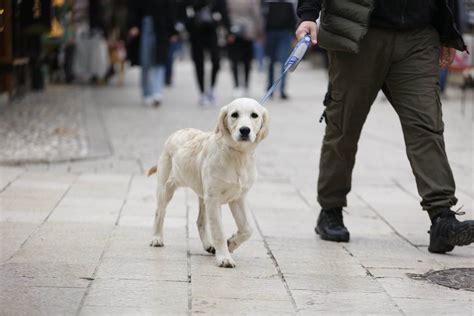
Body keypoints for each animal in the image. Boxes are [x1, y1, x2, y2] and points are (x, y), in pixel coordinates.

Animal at [146, 97, 268, 268]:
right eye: (234, 115)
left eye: (254, 115)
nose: (245, 130)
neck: (238, 155)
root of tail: (177, 132)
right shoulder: (214, 199)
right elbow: (219, 231)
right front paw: (224, 258)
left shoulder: (237, 198)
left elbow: (247, 229)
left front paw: (231, 244)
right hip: (166, 188)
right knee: (160, 212)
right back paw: (157, 238)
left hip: (203, 197)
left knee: (200, 221)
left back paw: (208, 245)